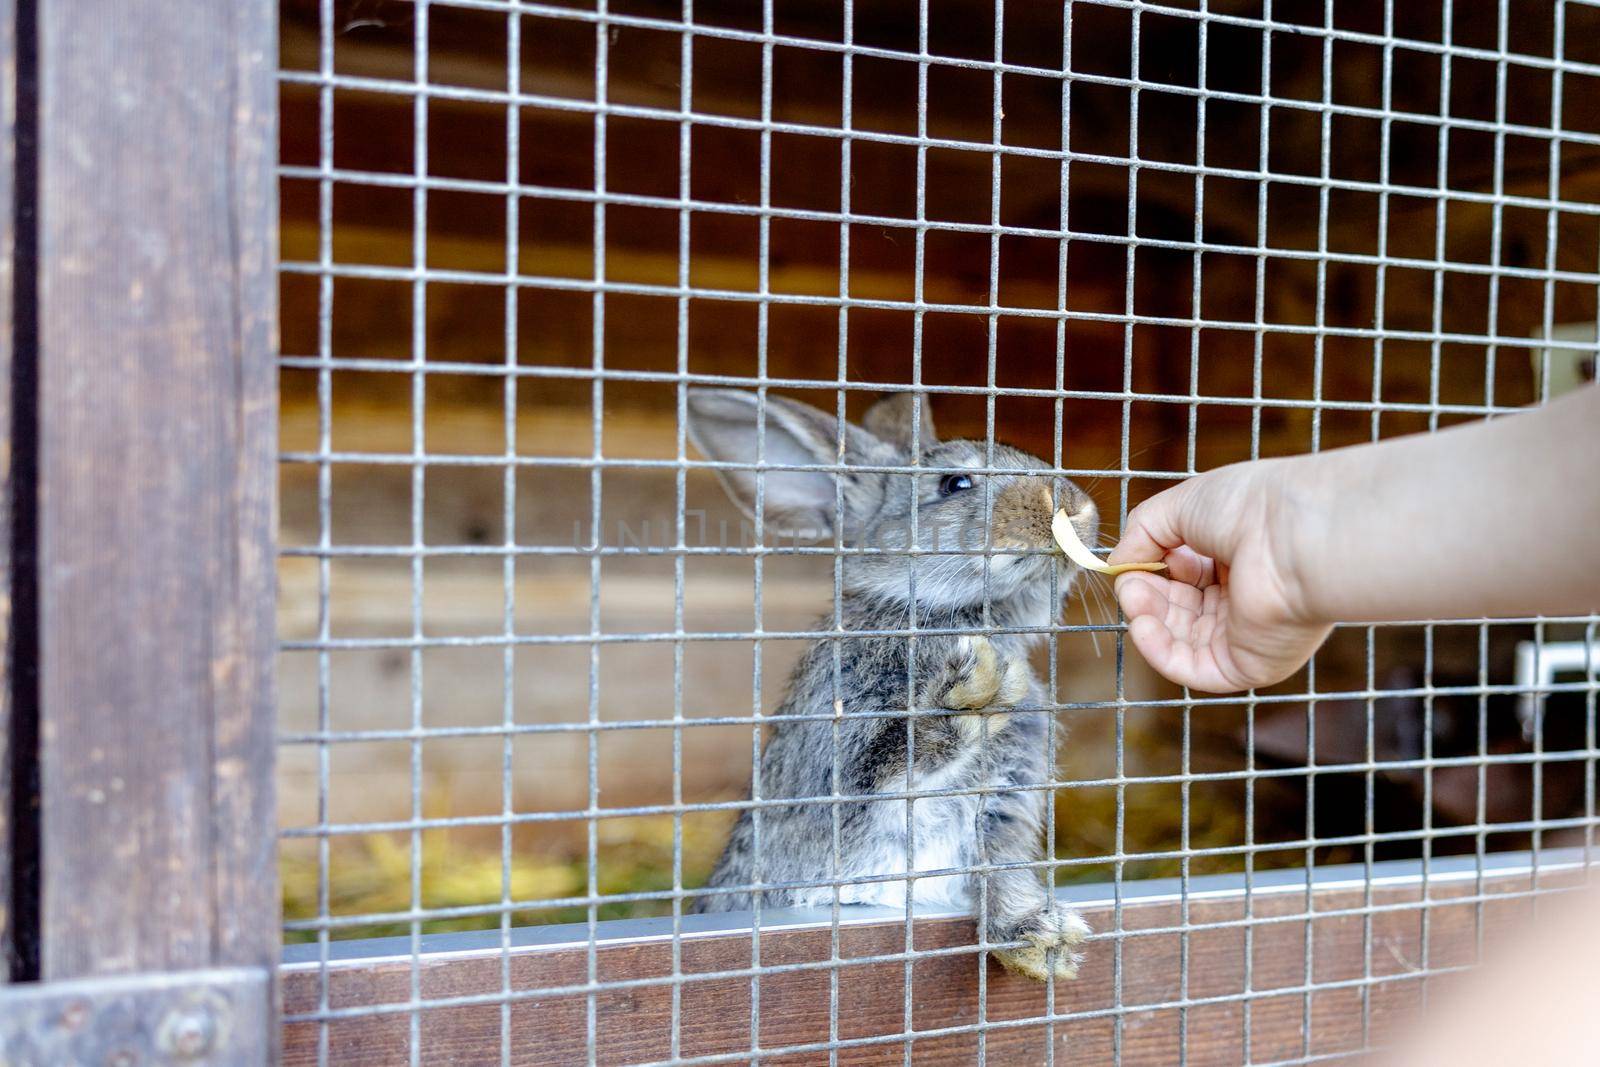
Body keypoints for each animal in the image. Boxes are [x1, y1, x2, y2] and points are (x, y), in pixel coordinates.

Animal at [688, 388, 1100, 979]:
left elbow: (1000, 868)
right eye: (955, 484)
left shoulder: (1004, 803)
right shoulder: (843, 767)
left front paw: (1037, 938)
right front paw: (973, 695)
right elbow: (898, 762)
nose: (1075, 506)